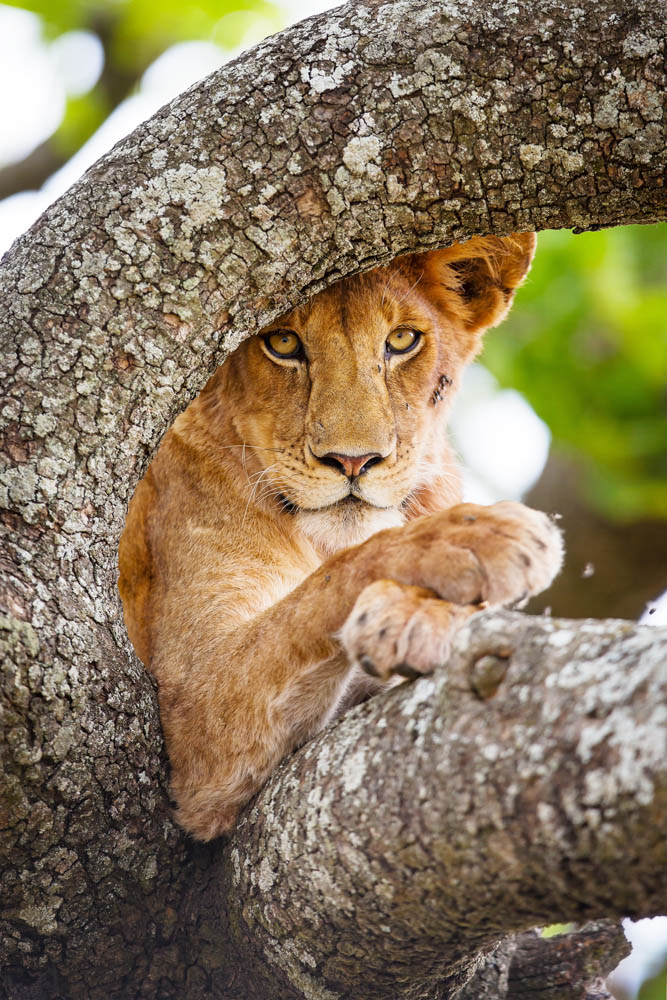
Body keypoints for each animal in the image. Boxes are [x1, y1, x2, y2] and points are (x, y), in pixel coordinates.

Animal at [118, 232, 563, 841]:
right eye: (282, 342)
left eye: (401, 340)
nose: (354, 461)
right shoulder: (194, 707)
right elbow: (331, 579)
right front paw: (476, 538)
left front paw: (418, 614)